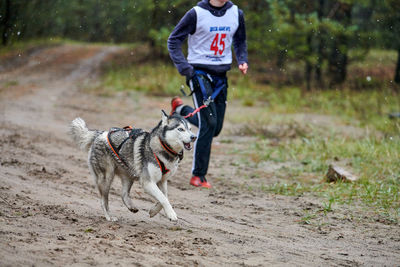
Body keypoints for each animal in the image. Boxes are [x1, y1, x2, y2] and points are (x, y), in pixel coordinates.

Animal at [69, 111, 197, 222]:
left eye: (190, 129)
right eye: (180, 129)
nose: (194, 137)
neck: (164, 148)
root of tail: (100, 134)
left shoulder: (162, 180)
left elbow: (164, 197)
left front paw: (153, 211)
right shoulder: (148, 182)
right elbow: (163, 198)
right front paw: (171, 214)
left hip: (128, 175)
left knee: (123, 194)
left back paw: (131, 206)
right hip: (106, 178)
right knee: (103, 201)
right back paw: (109, 217)